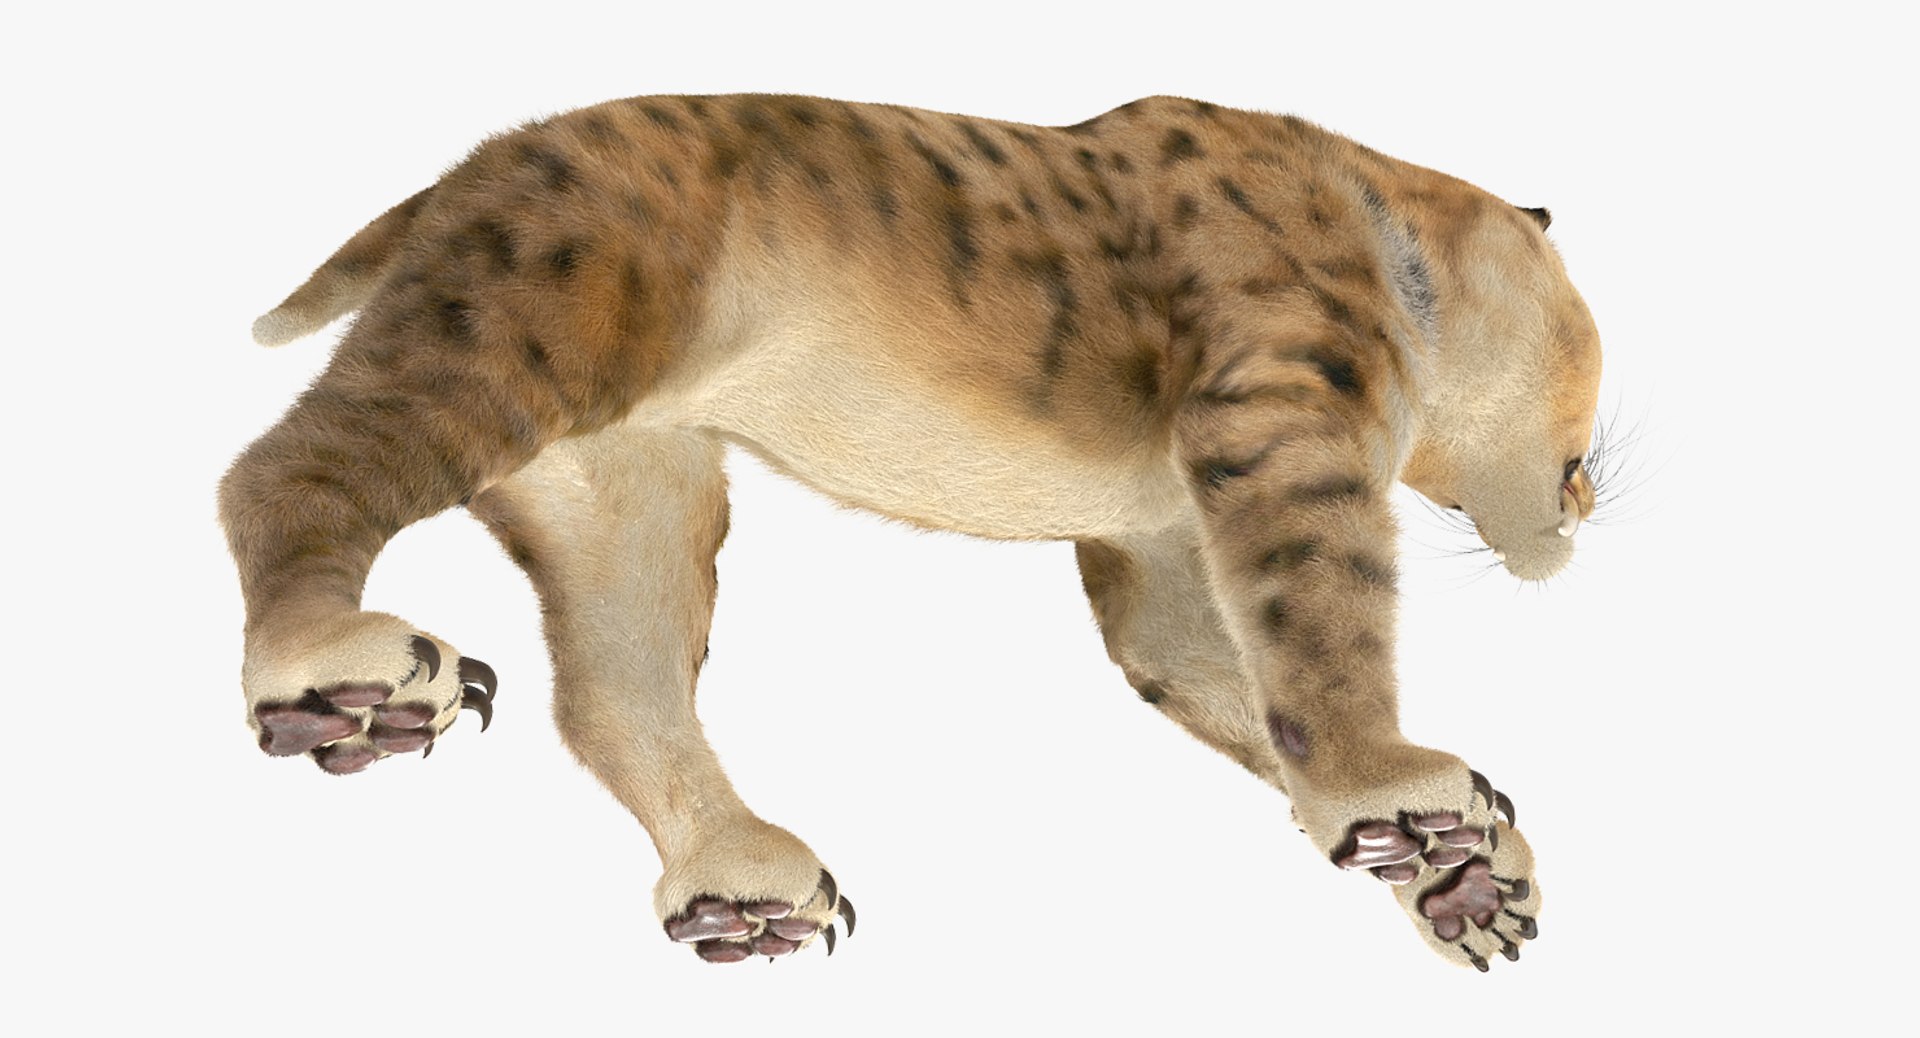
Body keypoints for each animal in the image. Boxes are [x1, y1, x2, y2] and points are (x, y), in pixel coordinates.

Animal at [222, 92, 1600, 971]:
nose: (1586, 511)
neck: (1387, 221)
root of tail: (462, 172)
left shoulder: (1159, 549)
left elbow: (1243, 691)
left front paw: (1464, 878)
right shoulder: (1280, 430)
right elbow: (1325, 632)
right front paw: (1402, 788)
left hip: (631, 490)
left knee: (613, 694)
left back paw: (742, 888)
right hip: (521, 338)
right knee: (280, 473)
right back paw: (342, 681)